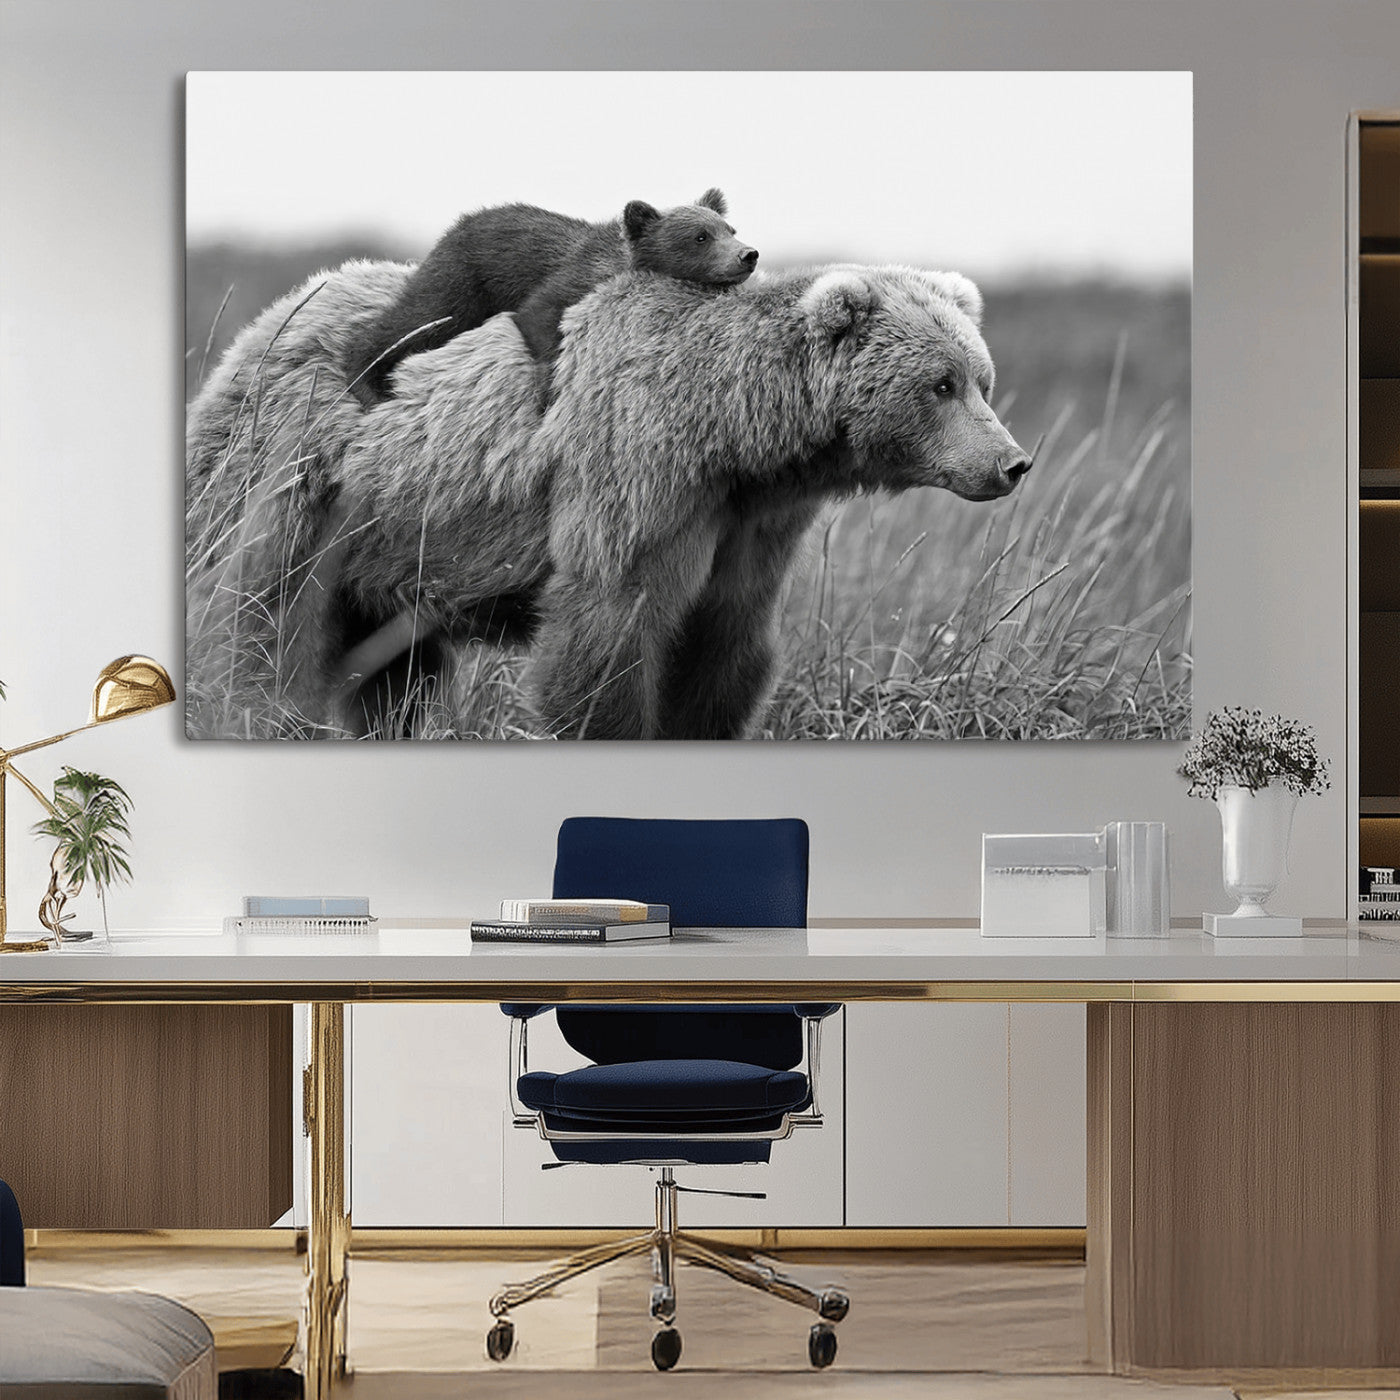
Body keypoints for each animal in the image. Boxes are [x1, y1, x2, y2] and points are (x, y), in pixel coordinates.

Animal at [185, 258, 1031, 740]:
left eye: (982, 379)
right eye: (941, 384)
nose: (1012, 462)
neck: (736, 433)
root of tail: (271, 317)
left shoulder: (751, 524)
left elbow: (724, 649)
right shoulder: (637, 473)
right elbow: (607, 634)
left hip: (394, 545)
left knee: (393, 674)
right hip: (300, 480)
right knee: (262, 618)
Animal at [341, 188, 757, 407]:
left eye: (730, 228)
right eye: (700, 236)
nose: (748, 255)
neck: (620, 263)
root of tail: (459, 223)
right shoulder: (570, 279)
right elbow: (539, 315)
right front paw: (548, 390)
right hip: (463, 279)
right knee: (417, 319)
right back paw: (366, 380)